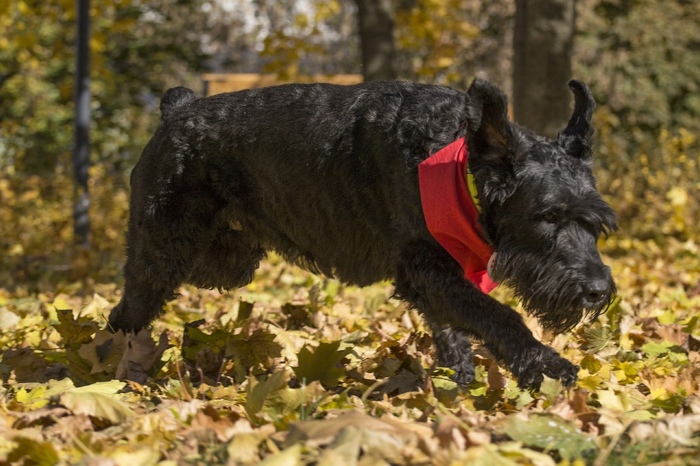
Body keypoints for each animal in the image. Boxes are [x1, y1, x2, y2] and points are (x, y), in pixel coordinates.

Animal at [106, 79, 616, 390]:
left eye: (597, 223)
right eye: (547, 216)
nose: (597, 291)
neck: (456, 163)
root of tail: (177, 110)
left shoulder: (441, 276)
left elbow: (456, 327)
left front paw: (458, 385)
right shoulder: (426, 270)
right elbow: (499, 315)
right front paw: (545, 365)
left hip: (227, 261)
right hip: (162, 252)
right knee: (126, 311)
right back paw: (115, 367)